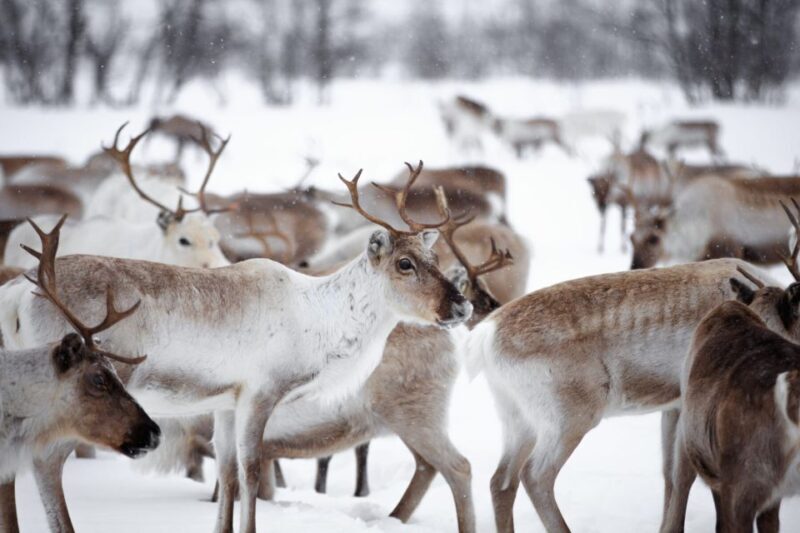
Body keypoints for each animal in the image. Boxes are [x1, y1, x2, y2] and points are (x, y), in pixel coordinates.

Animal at [462, 257, 782, 533]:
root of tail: (485, 336)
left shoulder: (673, 407)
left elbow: (670, 473)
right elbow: (685, 474)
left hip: (517, 419)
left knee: (501, 481)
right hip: (569, 418)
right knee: (535, 475)